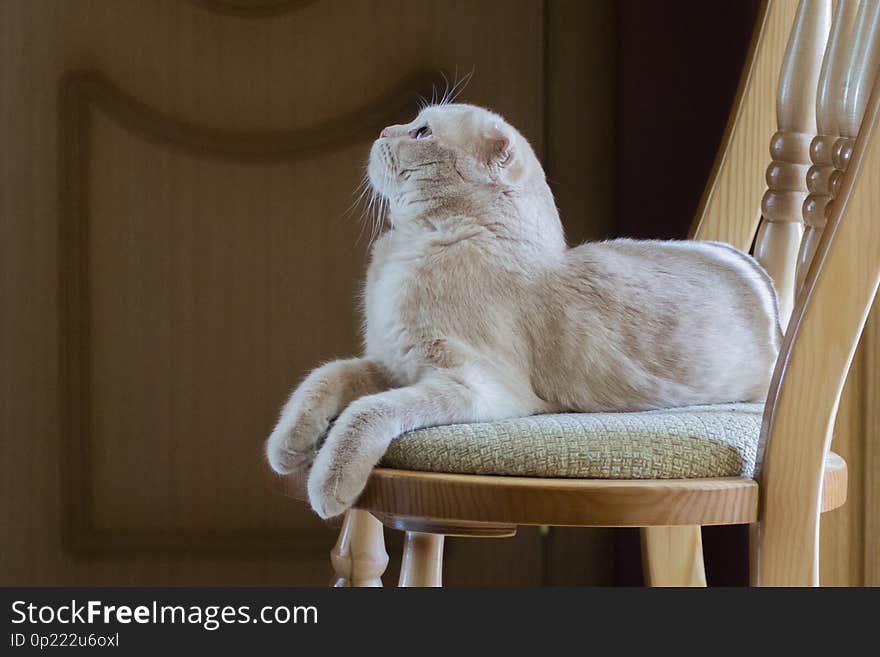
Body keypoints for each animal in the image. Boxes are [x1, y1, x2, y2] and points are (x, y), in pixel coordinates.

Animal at [264, 102, 780, 516]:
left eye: (420, 132)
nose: (384, 129)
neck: (414, 247)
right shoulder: (391, 363)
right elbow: (326, 376)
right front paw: (288, 448)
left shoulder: (475, 385)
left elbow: (365, 412)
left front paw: (326, 486)